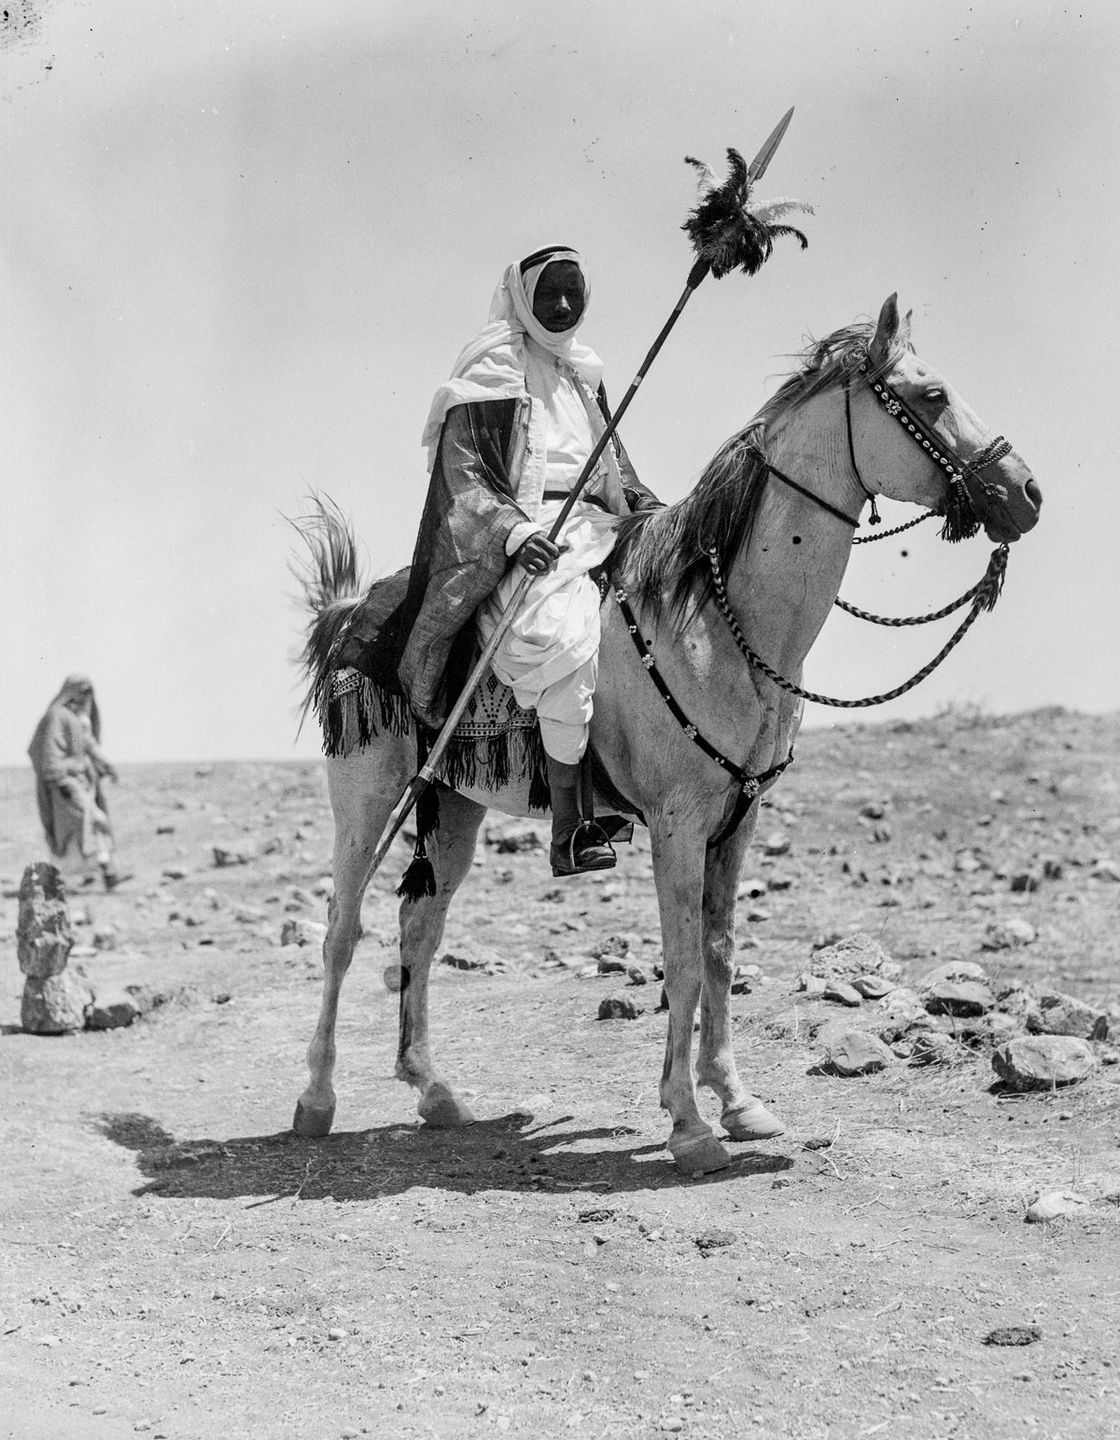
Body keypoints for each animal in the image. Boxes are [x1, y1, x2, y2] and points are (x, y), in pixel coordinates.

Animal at [290, 298, 1036, 1175]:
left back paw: (434, 1091)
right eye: (931, 394)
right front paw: (688, 1122)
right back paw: (316, 1101)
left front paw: (738, 1102)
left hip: (454, 805)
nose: (1025, 492)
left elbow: (718, 954)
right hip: (368, 798)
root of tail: (349, 614)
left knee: (421, 926)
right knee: (343, 931)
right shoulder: (677, 824)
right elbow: (679, 962)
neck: (720, 618)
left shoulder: (738, 820)